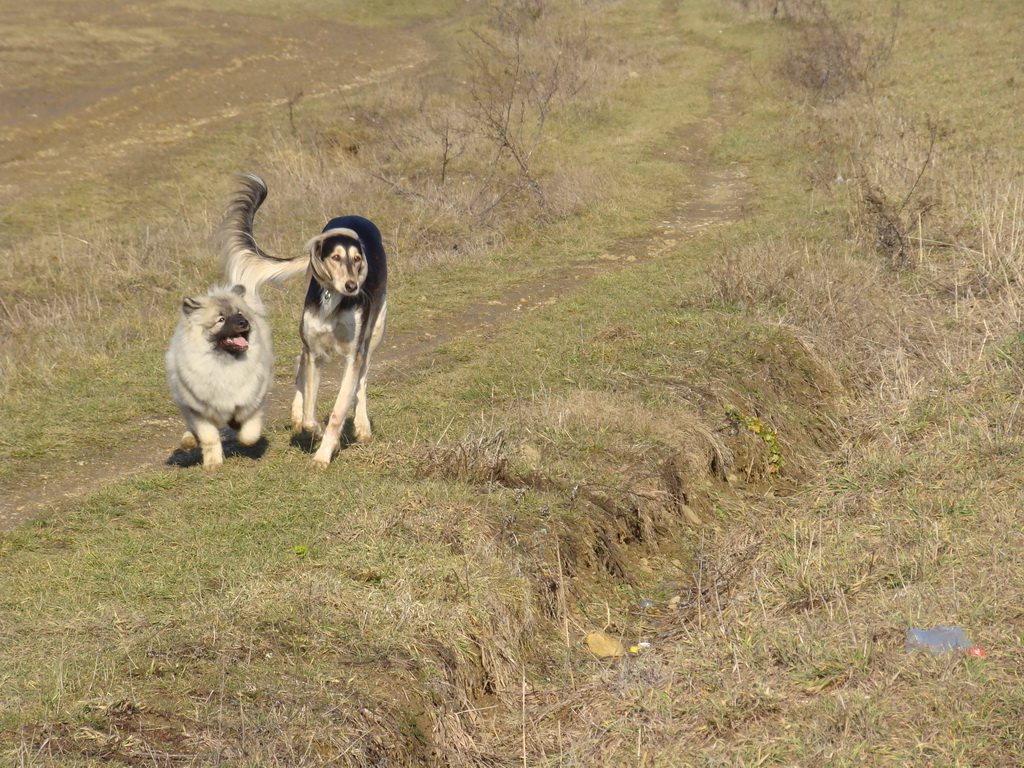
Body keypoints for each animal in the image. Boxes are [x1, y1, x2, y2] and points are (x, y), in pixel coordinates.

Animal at [220, 174, 387, 466]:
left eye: (357, 259)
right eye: (335, 257)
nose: (353, 286)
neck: (334, 300)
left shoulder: (352, 355)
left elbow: (339, 409)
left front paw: (323, 454)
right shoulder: (315, 350)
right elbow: (310, 411)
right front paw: (313, 429)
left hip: (375, 331)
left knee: (363, 381)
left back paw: (362, 426)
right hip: (309, 339)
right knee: (300, 361)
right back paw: (298, 413)